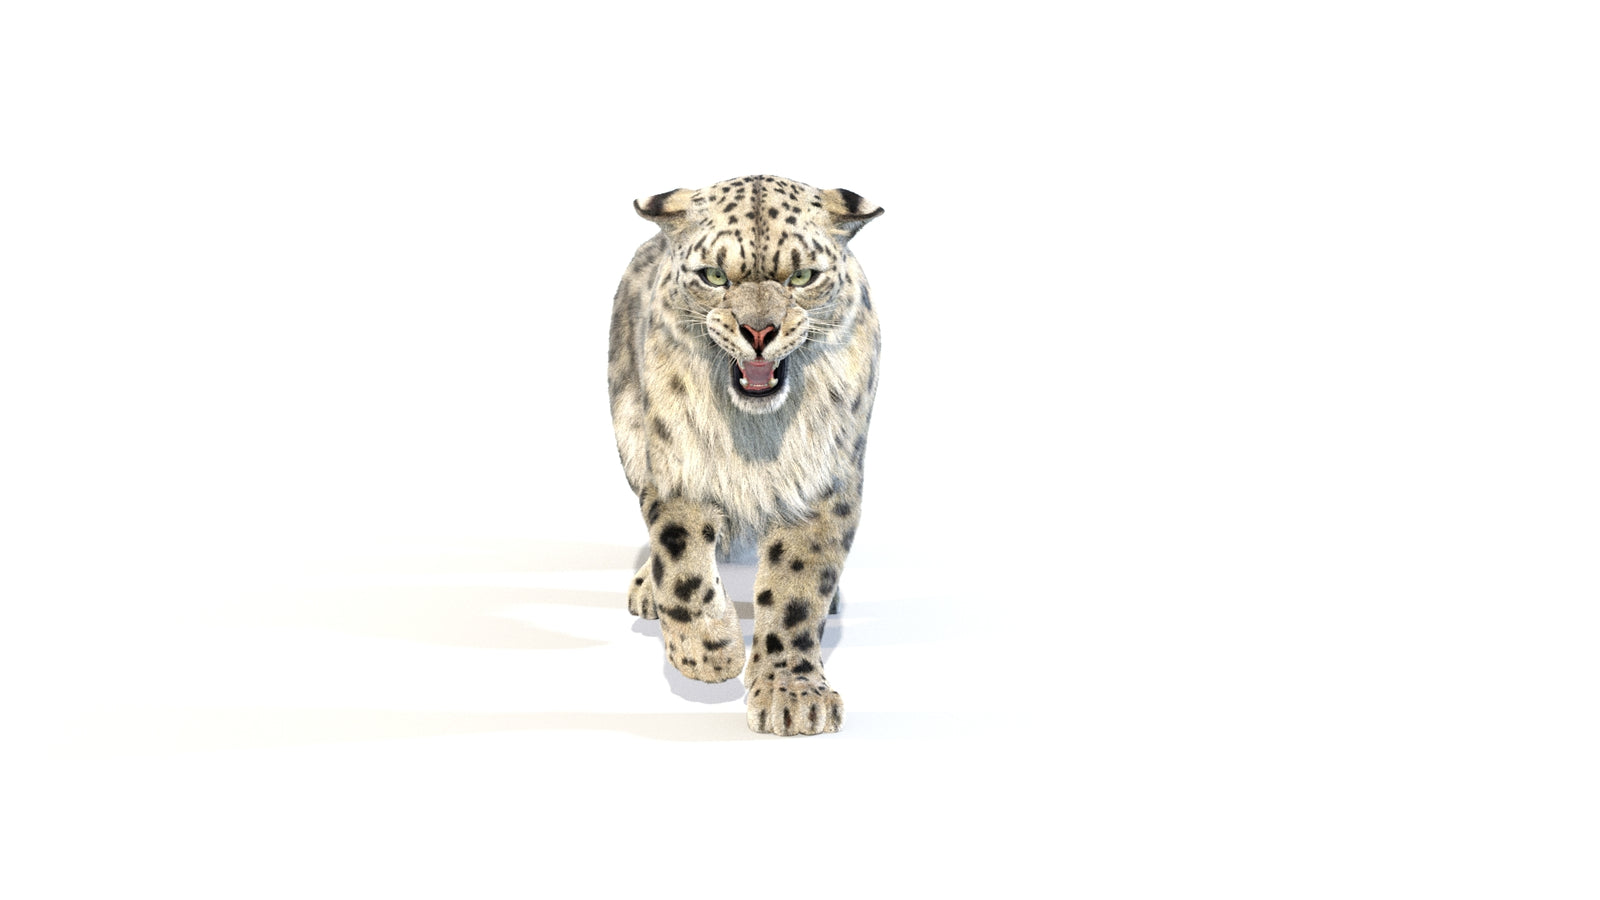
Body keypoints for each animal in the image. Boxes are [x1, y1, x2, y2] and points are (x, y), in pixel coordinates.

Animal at [607, 174, 883, 736]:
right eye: (714, 276)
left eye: (802, 276)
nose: (759, 332)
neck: (755, 437)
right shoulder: (678, 466)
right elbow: (683, 567)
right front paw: (710, 655)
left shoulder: (822, 482)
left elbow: (797, 588)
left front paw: (793, 696)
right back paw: (648, 589)